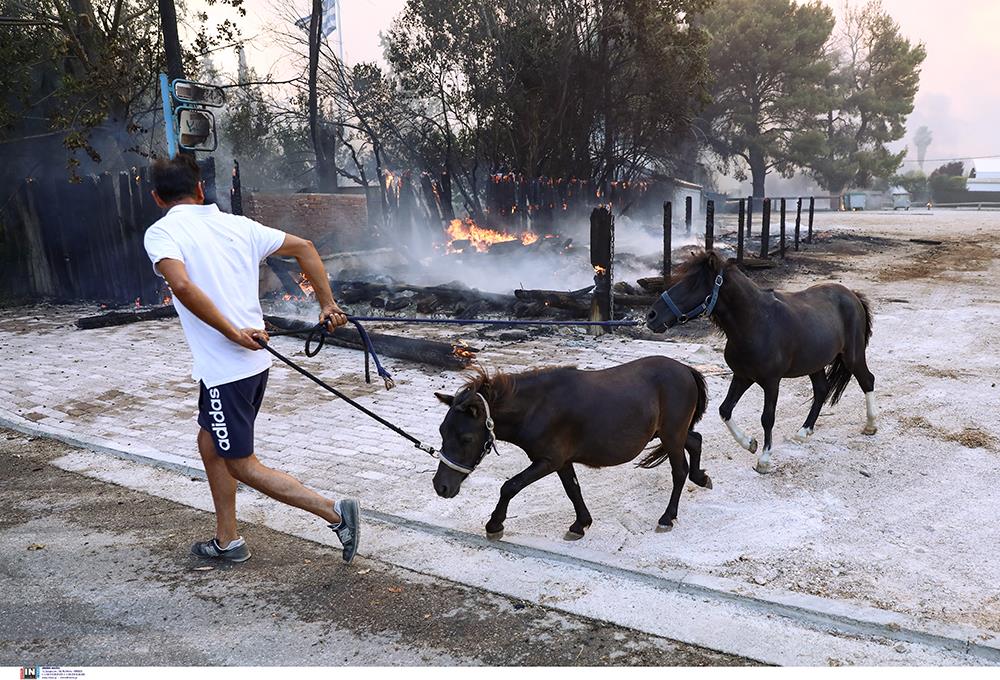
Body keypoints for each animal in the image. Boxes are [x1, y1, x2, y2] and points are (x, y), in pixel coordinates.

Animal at [434, 358, 708, 540]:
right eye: (441, 431)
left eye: (466, 438)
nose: (441, 487)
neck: (538, 407)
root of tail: (686, 369)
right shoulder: (562, 462)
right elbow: (573, 490)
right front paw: (581, 524)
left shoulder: (549, 460)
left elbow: (510, 486)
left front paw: (494, 524)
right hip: (671, 434)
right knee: (695, 440)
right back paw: (702, 478)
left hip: (672, 436)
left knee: (679, 472)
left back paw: (667, 517)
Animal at [648, 250, 876, 472]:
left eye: (693, 283)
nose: (652, 315)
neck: (756, 323)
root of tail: (852, 295)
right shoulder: (742, 376)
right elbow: (725, 409)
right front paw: (749, 443)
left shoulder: (771, 382)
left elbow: (767, 418)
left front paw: (764, 460)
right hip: (815, 363)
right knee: (821, 390)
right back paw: (803, 432)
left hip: (853, 356)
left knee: (867, 380)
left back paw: (871, 426)